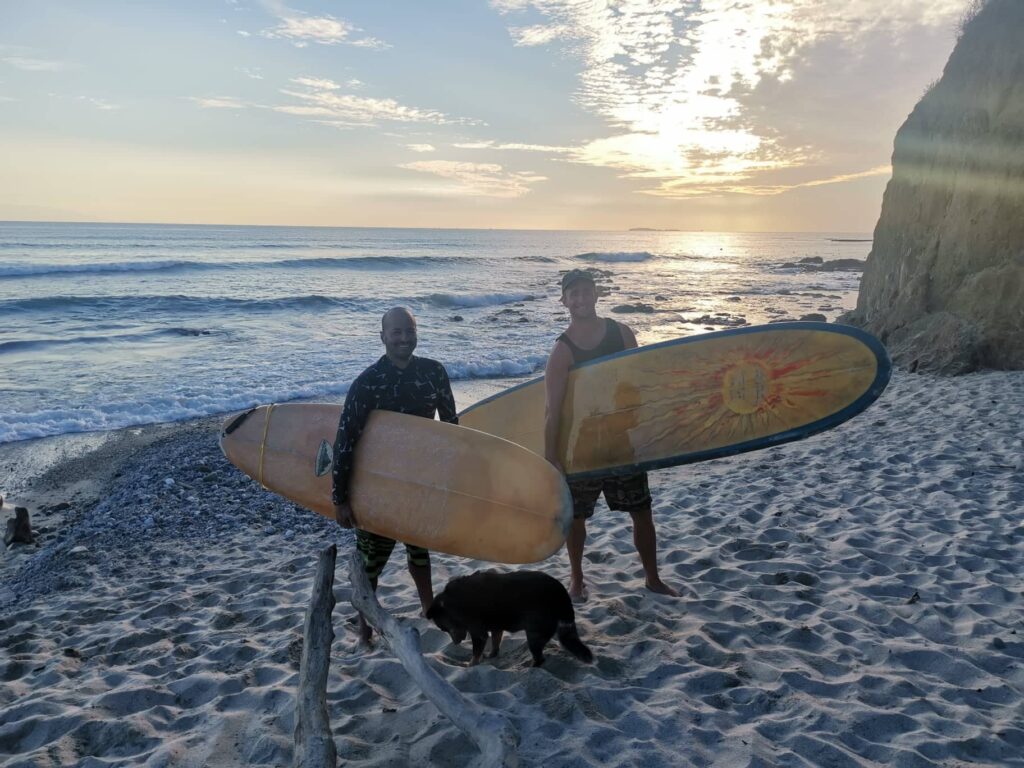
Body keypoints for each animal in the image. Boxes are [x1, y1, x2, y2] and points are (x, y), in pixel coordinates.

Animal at [428, 573, 598, 667]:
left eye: (444, 628)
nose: (456, 643)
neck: (452, 602)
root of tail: (561, 595)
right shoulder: (496, 628)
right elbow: (495, 644)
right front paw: (491, 656)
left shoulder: (478, 633)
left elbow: (475, 654)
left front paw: (471, 665)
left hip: (534, 635)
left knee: (540, 658)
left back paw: (530, 667)